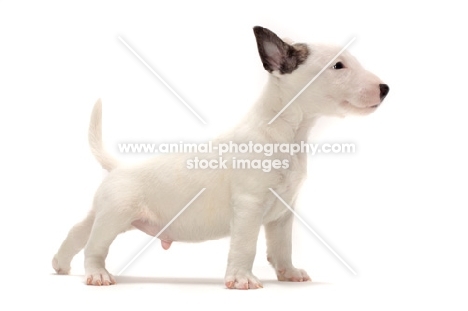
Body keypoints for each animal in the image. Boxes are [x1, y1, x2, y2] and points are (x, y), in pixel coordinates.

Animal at [52, 26, 388, 290]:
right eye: (338, 66)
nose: (385, 88)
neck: (286, 133)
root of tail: (119, 168)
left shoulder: (283, 213)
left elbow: (283, 246)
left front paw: (289, 273)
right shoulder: (249, 205)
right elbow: (245, 245)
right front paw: (241, 279)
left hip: (105, 213)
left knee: (78, 231)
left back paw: (59, 264)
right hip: (116, 216)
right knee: (94, 246)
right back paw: (97, 275)